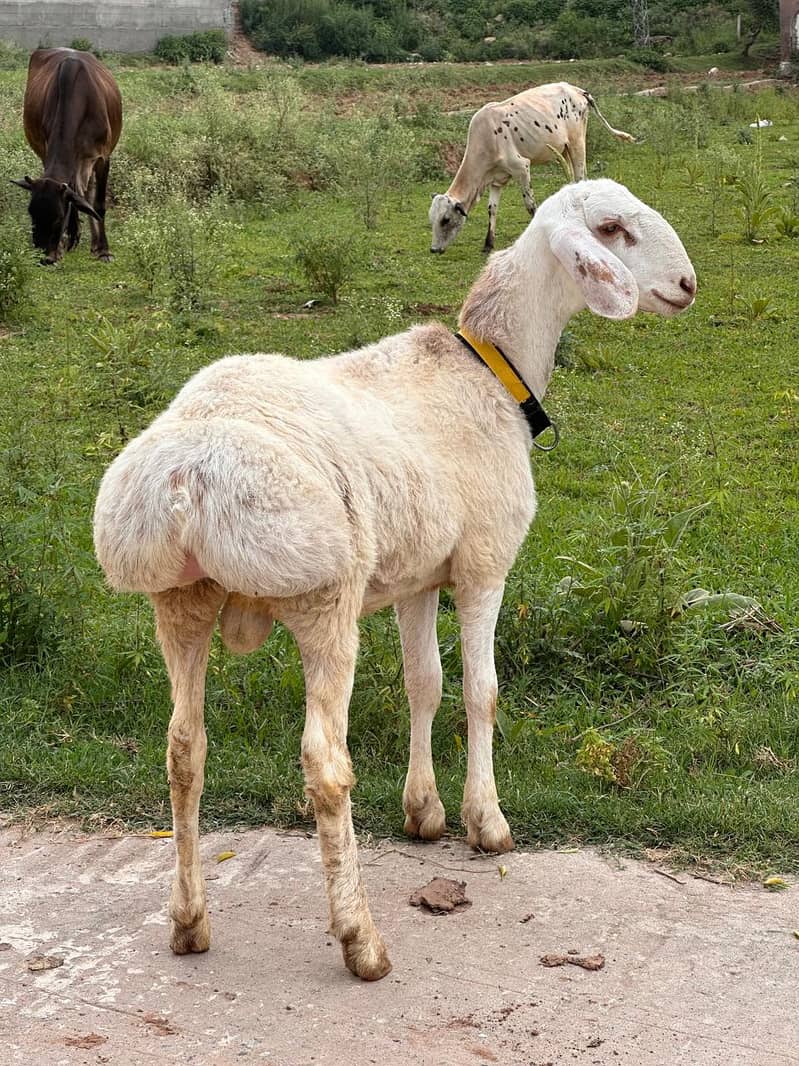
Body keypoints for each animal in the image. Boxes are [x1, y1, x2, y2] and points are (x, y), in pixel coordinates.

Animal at [93, 179, 696, 983]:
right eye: (610, 229)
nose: (687, 285)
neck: (491, 369)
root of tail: (189, 485)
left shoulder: (418, 576)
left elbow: (424, 684)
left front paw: (423, 812)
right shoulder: (482, 564)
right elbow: (480, 692)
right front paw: (485, 822)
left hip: (178, 600)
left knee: (183, 750)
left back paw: (190, 923)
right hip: (324, 594)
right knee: (325, 765)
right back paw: (361, 941)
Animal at [429, 83, 635, 254]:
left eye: (445, 220)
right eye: (431, 219)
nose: (434, 249)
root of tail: (576, 89)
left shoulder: (522, 167)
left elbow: (530, 205)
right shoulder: (497, 180)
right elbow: (492, 209)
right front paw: (488, 244)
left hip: (577, 142)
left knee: (580, 176)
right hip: (565, 149)